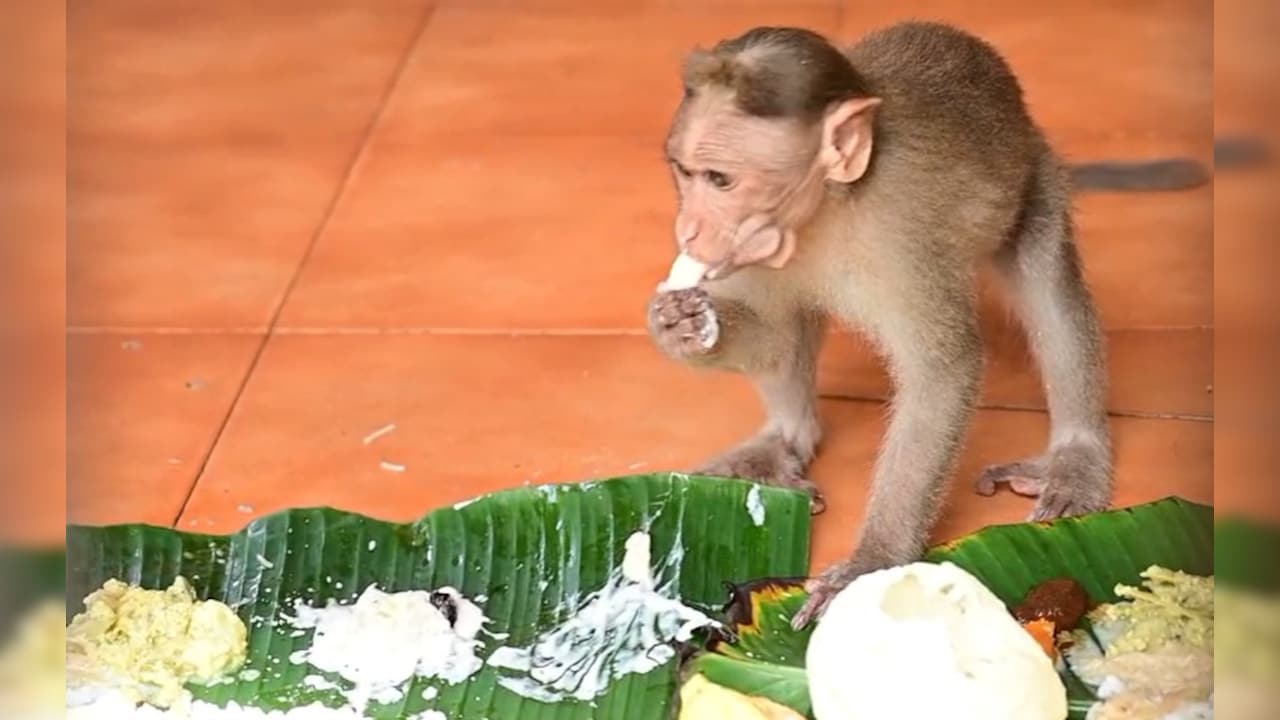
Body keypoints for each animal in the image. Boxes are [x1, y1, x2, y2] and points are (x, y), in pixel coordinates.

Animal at [646, 22, 1113, 628]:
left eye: (720, 180)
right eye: (684, 172)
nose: (689, 229)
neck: (827, 206)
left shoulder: (900, 233)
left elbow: (943, 368)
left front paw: (875, 558)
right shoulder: (754, 248)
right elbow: (775, 336)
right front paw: (682, 327)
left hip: (1037, 175)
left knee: (1046, 283)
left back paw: (1075, 455)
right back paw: (785, 438)